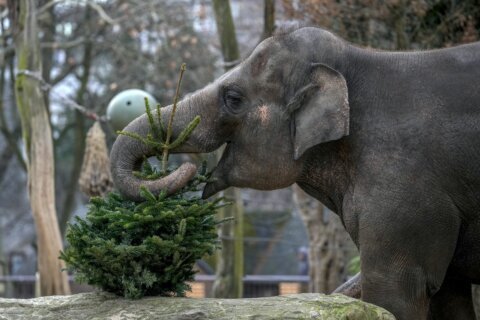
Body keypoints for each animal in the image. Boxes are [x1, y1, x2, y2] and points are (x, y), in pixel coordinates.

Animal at [110, 27, 480, 320]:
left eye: (233, 98)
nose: (188, 168)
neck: (358, 60)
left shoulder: (405, 189)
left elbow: (395, 292)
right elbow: (448, 294)